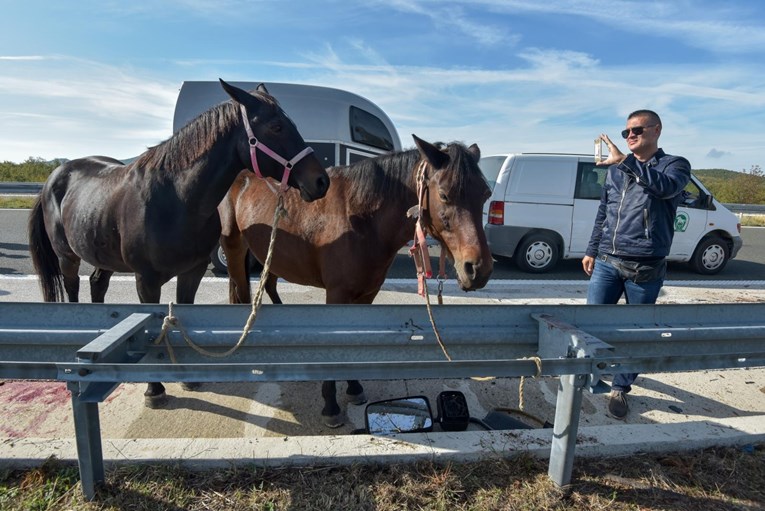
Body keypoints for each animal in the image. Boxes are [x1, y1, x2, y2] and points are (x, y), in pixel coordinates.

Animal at [27, 80, 328, 408]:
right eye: (276, 126)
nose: (321, 181)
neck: (177, 200)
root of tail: (54, 176)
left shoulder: (192, 271)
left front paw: (188, 377)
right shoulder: (146, 280)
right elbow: (150, 328)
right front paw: (154, 389)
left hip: (102, 253)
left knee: (97, 285)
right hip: (66, 256)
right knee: (73, 291)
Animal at [218, 134, 492, 426]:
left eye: (485, 195)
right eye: (443, 195)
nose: (479, 269)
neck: (361, 219)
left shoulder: (366, 295)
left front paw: (353, 387)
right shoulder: (337, 295)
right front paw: (330, 405)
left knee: (268, 285)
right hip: (234, 248)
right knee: (241, 292)